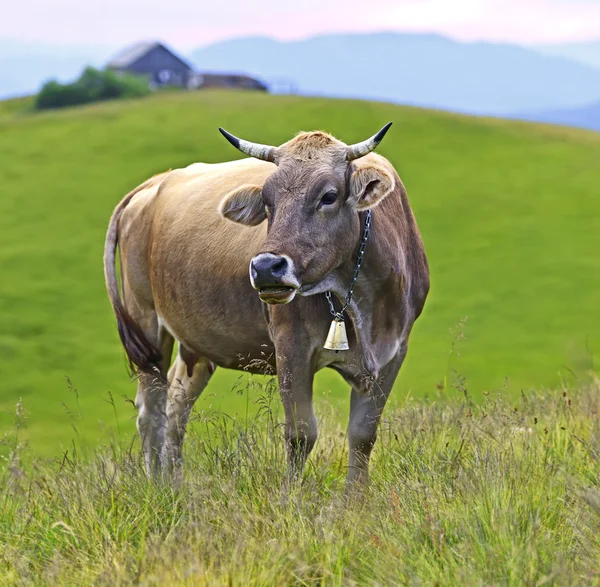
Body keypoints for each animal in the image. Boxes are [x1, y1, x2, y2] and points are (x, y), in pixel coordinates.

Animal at [105, 121, 428, 490]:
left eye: (328, 196)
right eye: (267, 201)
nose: (265, 267)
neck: (359, 299)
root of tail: (154, 184)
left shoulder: (393, 352)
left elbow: (363, 435)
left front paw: (355, 498)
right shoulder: (291, 348)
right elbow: (301, 434)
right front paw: (291, 498)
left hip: (195, 342)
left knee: (176, 405)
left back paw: (175, 484)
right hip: (146, 325)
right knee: (151, 410)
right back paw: (157, 487)